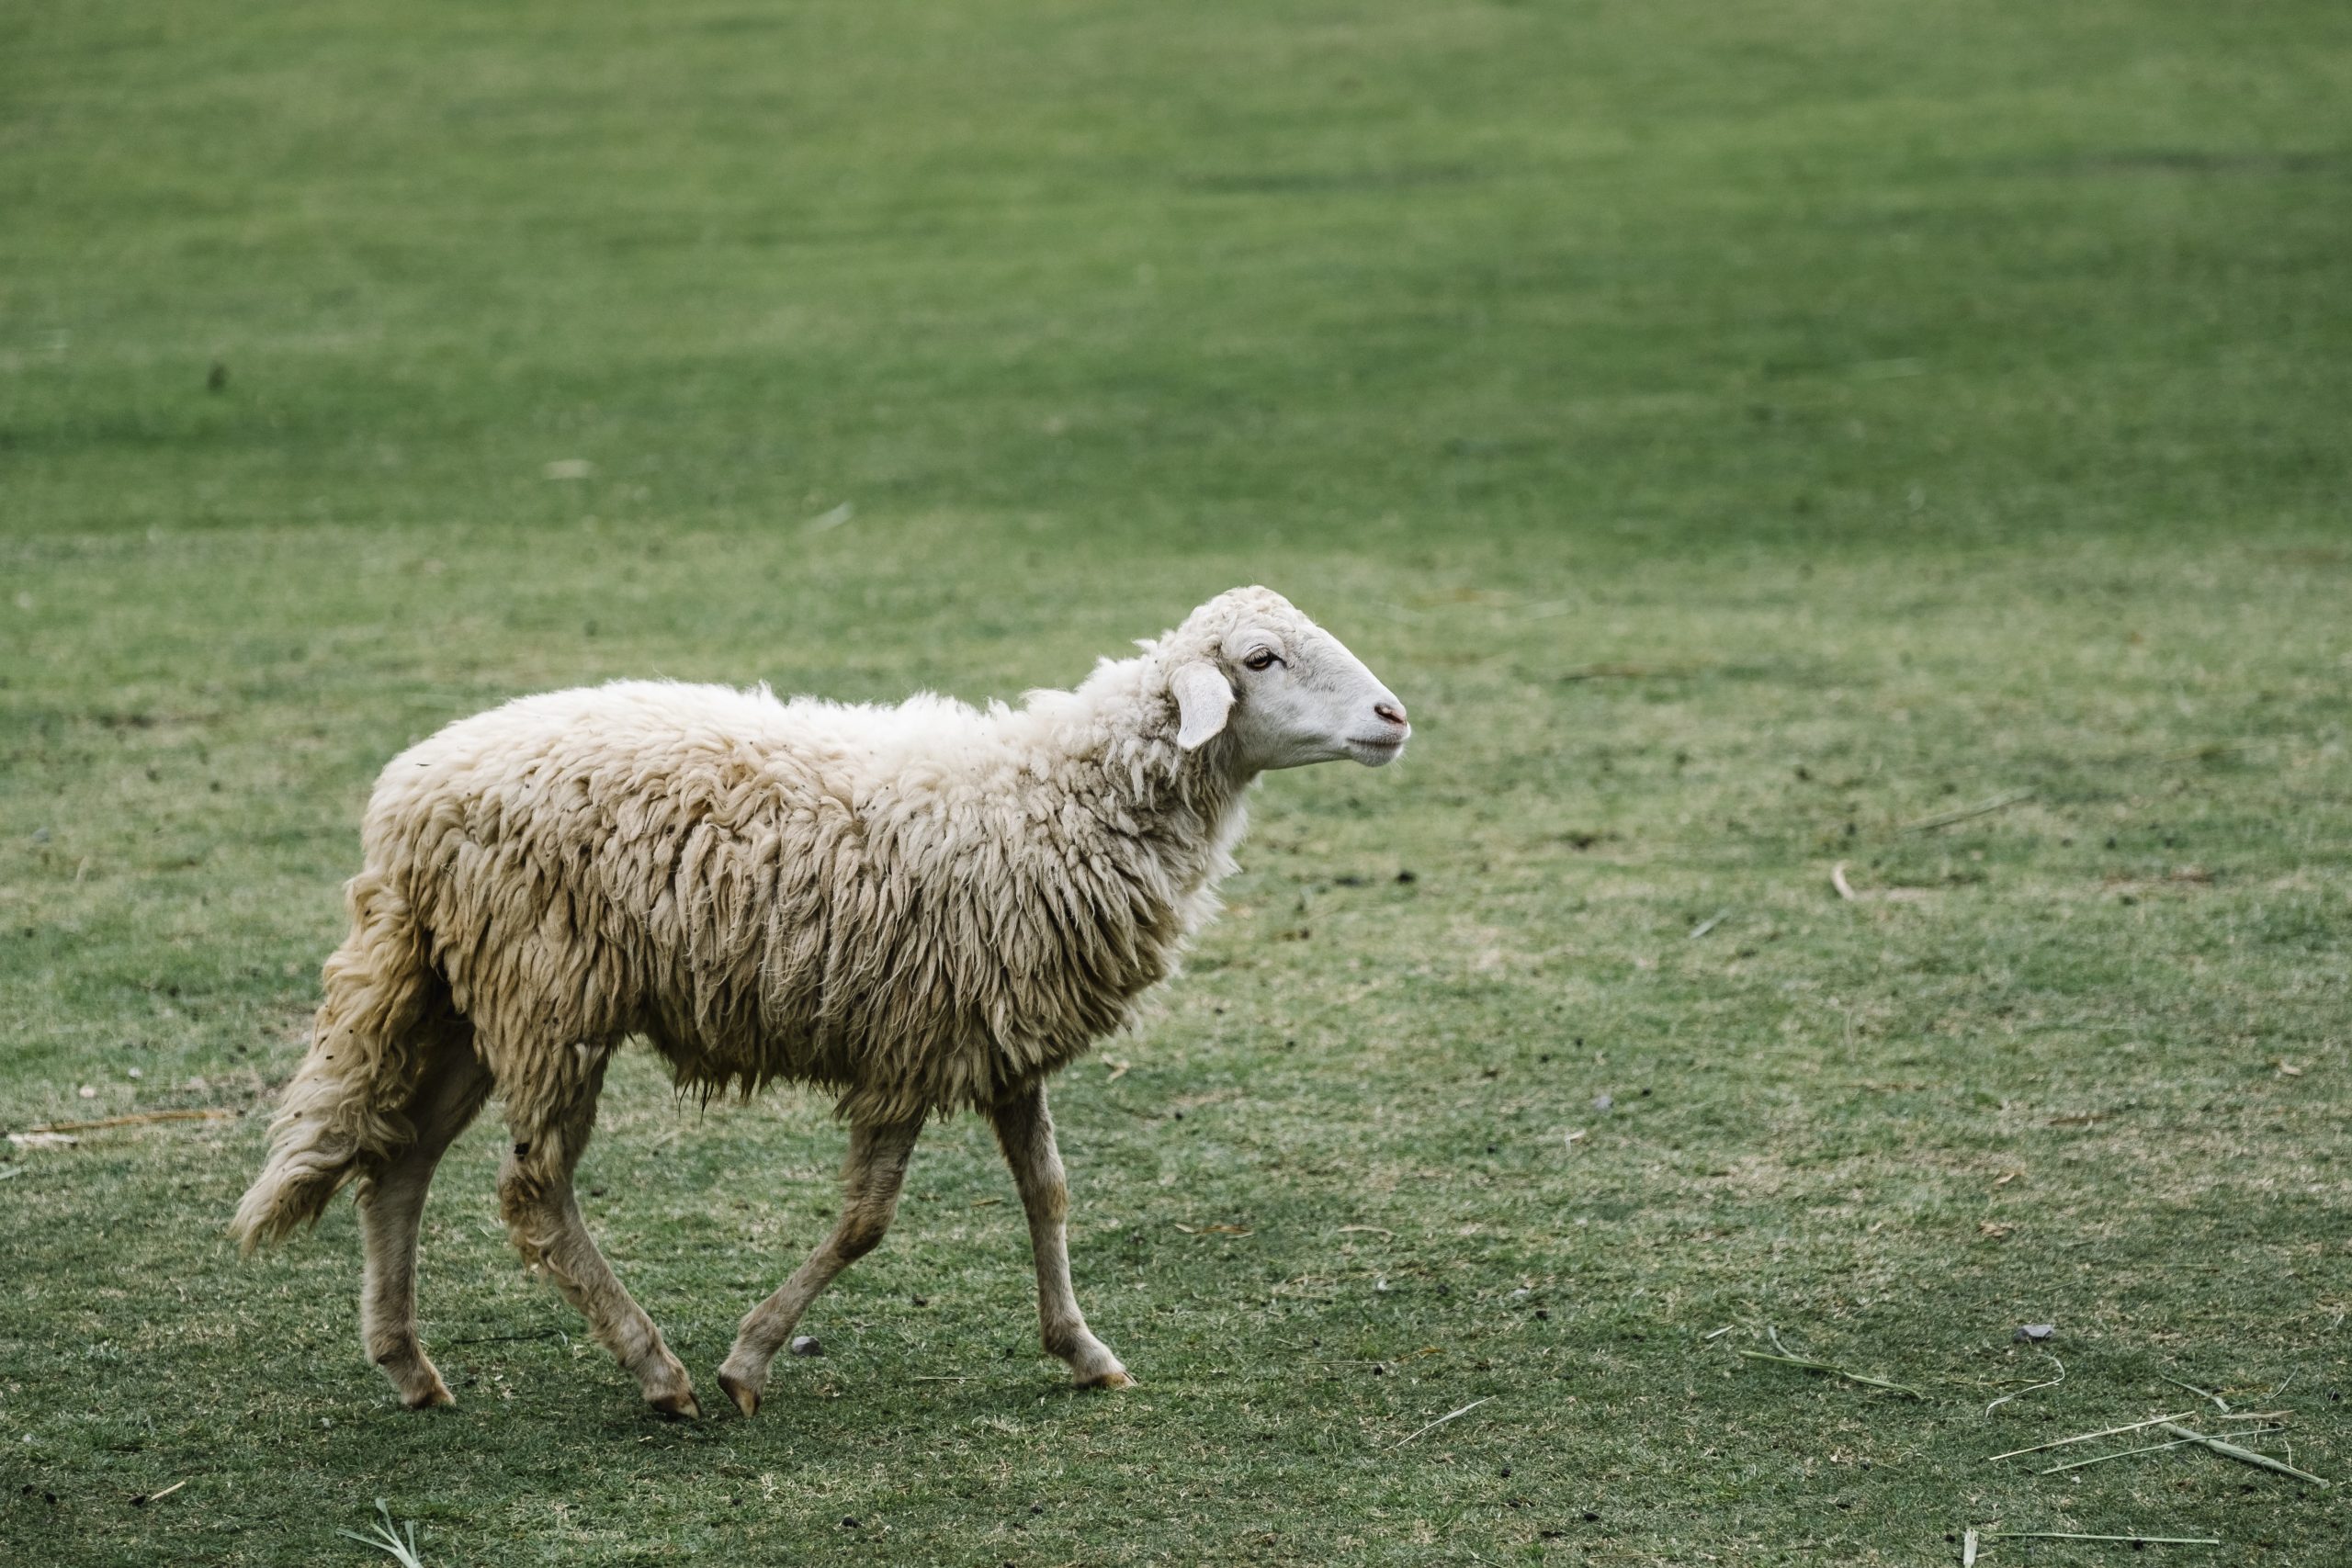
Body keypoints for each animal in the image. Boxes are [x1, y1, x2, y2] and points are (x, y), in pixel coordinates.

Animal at [234, 585, 1411, 1418]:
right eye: (1260, 660)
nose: (1395, 716)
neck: (1058, 797)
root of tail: (404, 798)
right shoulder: (910, 1044)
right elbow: (865, 1221)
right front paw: (747, 1362)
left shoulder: (998, 1036)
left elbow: (1048, 1193)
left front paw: (1082, 1350)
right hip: (548, 995)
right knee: (530, 1196)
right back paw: (656, 1372)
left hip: (471, 997)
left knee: (400, 1165)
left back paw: (409, 1367)